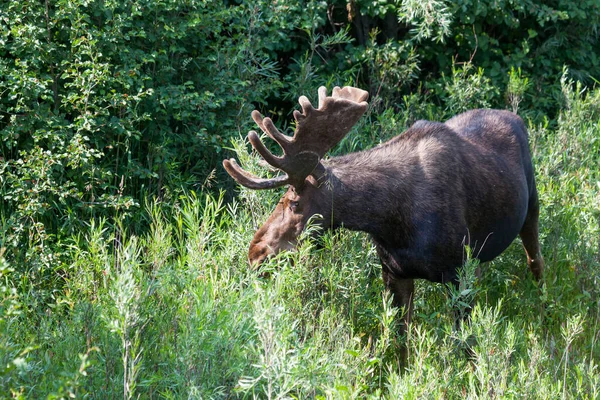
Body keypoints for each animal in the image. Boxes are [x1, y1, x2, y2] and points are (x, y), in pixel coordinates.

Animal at [221, 85, 544, 332]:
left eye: (294, 202)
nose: (256, 252)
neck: (390, 221)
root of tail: (516, 116)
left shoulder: (459, 272)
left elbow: (466, 346)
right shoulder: (393, 274)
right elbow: (400, 344)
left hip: (531, 208)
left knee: (536, 262)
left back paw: (544, 309)